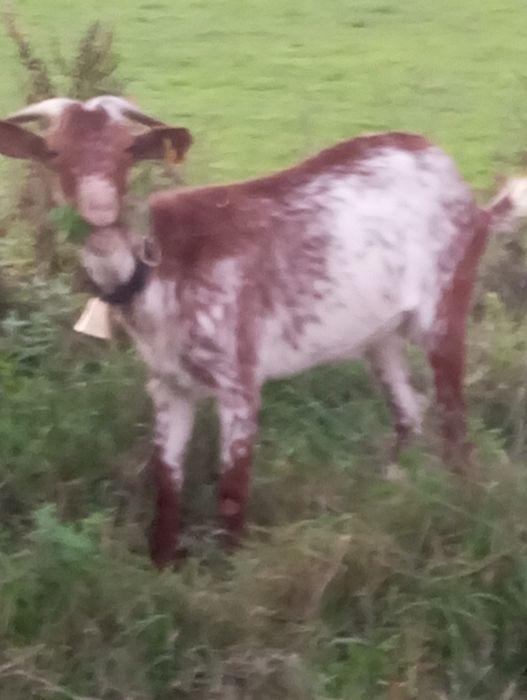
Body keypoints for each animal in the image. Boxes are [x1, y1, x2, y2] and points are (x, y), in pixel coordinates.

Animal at [2, 104, 527, 567]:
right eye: (54, 152)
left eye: (128, 149)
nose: (99, 210)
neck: (160, 263)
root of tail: (474, 202)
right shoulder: (168, 385)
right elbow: (166, 483)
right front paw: (162, 568)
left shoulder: (238, 377)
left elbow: (233, 490)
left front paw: (230, 575)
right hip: (379, 335)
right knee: (409, 414)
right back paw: (392, 493)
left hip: (446, 304)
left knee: (456, 429)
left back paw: (459, 512)